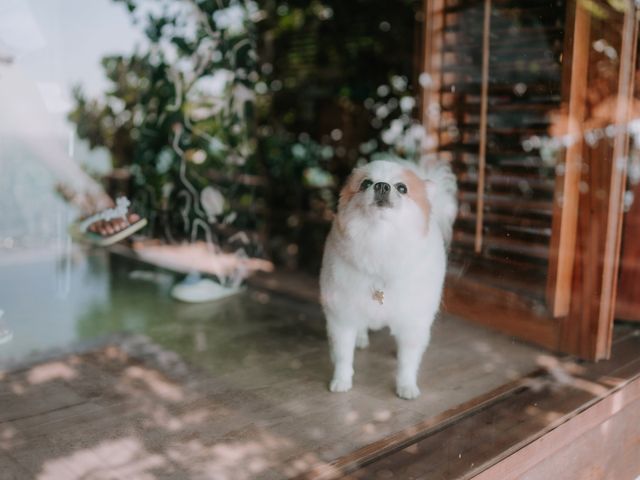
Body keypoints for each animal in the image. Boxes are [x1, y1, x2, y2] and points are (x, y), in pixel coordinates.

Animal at [318, 159, 456, 400]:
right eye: (365, 183)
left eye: (402, 188)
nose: (382, 185)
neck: (380, 241)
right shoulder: (342, 316)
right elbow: (343, 355)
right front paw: (341, 380)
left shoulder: (413, 321)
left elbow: (408, 361)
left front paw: (406, 386)